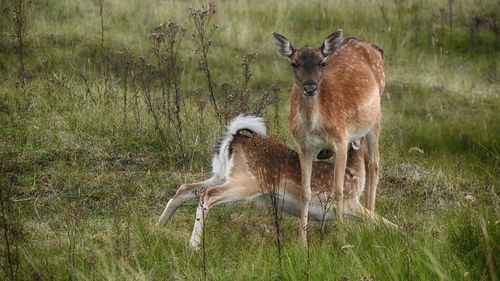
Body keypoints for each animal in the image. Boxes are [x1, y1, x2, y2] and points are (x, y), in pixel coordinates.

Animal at [156, 115, 394, 248]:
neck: (353, 173)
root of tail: (235, 137)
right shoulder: (349, 203)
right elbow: (383, 221)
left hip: (220, 174)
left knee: (185, 188)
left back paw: (157, 227)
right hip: (246, 183)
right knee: (208, 194)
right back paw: (194, 245)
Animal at [274, 29, 386, 243]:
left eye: (322, 63)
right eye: (294, 63)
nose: (310, 87)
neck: (315, 125)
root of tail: (374, 48)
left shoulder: (341, 140)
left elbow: (338, 190)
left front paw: (341, 237)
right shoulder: (304, 146)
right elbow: (306, 191)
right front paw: (302, 240)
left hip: (375, 118)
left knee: (374, 163)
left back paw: (368, 222)